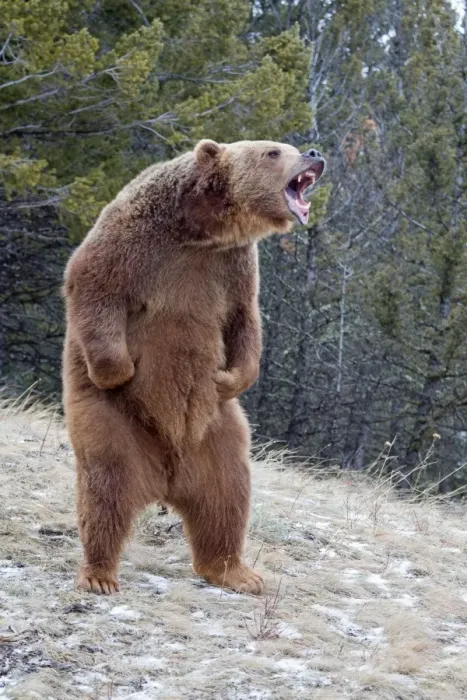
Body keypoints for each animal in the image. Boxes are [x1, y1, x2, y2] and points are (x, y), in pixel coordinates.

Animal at [62, 139, 325, 595]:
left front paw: (228, 378)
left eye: (289, 147)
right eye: (273, 151)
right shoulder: (135, 241)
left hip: (217, 434)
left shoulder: (232, 268)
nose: (314, 152)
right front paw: (119, 368)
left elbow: (243, 322)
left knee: (227, 497)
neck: (201, 231)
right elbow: (94, 284)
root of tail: (165, 480)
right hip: (115, 422)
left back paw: (238, 572)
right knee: (105, 489)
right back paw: (99, 574)